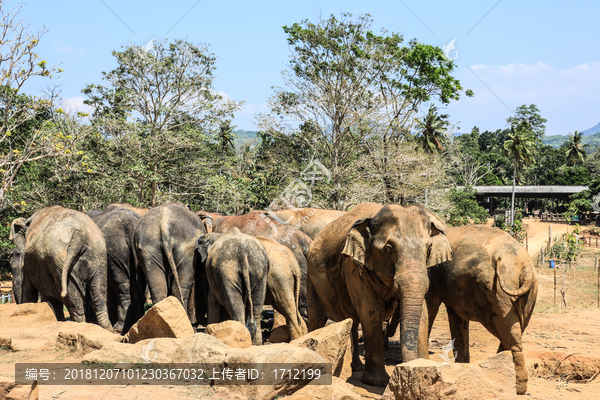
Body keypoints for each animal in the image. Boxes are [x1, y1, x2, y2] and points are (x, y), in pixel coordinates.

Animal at [304, 202, 450, 386]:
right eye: (389, 248)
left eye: (429, 248)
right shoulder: (354, 265)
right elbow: (370, 311)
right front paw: (376, 382)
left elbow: (422, 313)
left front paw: (422, 367)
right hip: (311, 277)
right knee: (316, 318)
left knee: (352, 321)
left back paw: (356, 367)